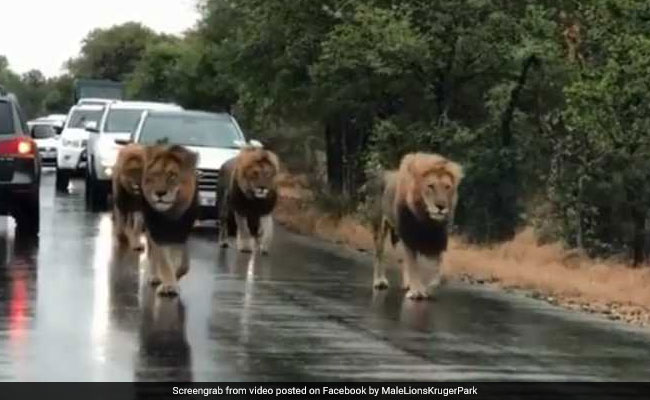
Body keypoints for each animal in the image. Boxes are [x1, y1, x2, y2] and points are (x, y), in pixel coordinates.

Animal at [141, 144, 198, 297]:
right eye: (155, 175)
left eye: (172, 176)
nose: (160, 193)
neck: (171, 213)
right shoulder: (157, 233)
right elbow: (163, 260)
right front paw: (168, 285)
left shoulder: (182, 234)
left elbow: (184, 263)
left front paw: (176, 275)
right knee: (152, 254)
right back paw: (155, 276)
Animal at [369, 152, 463, 300]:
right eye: (431, 186)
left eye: (447, 187)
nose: (441, 207)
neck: (426, 219)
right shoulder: (409, 236)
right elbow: (413, 264)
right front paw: (417, 291)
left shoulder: (439, 241)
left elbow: (443, 273)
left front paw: (428, 288)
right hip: (380, 226)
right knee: (379, 254)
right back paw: (380, 281)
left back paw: (407, 284)